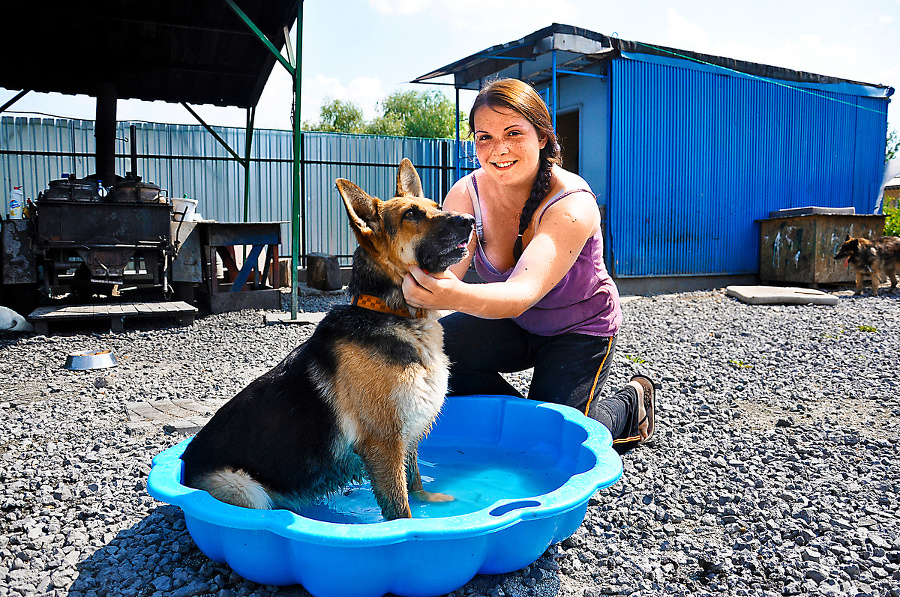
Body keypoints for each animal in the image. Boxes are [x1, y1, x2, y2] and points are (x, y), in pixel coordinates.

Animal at [179, 158, 474, 516]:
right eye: (411, 215)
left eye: (437, 207)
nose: (470, 221)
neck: (392, 314)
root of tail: (183, 466)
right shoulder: (384, 444)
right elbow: (399, 506)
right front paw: (411, 525)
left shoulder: (407, 436)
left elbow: (414, 481)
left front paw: (428, 503)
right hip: (243, 488)